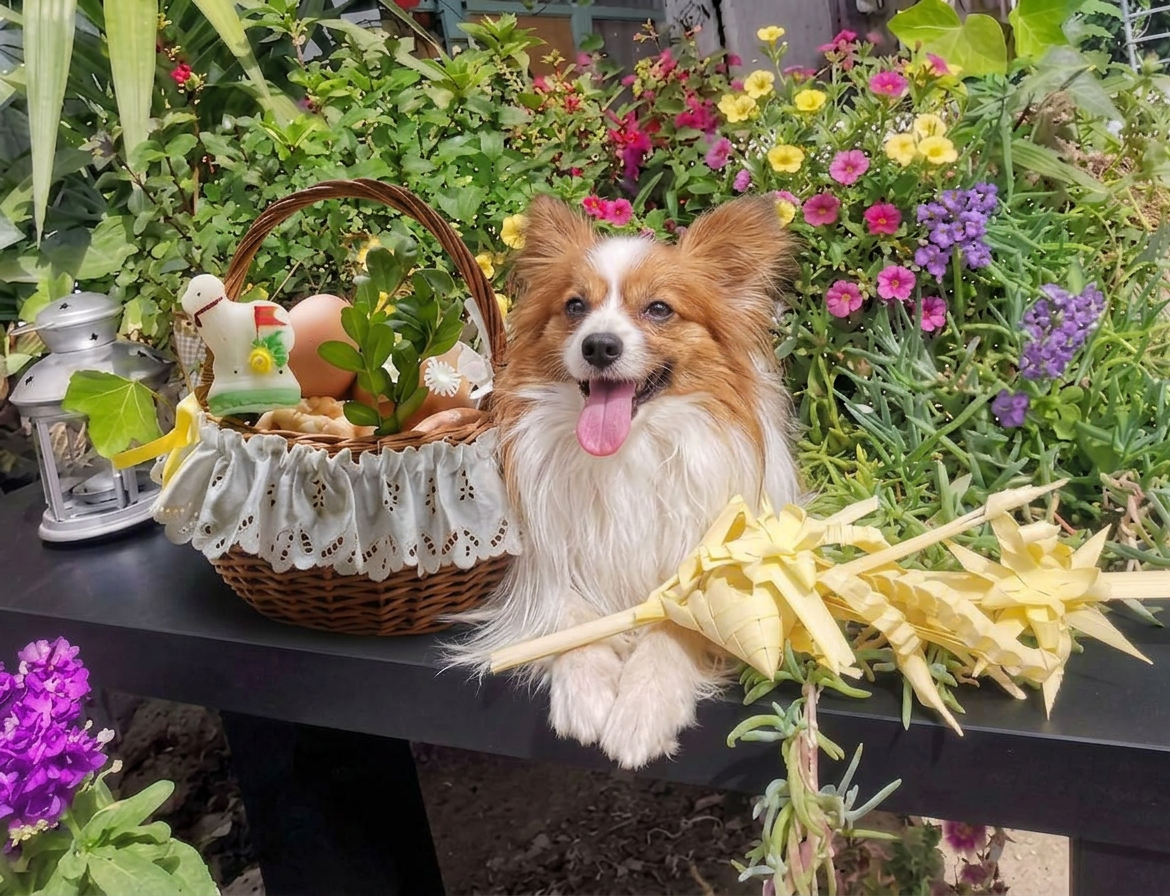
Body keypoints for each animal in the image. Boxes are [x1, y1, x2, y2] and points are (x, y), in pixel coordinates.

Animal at [447, 194, 802, 769]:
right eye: (574, 306)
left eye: (658, 309)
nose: (599, 346)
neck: (631, 450)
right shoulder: (543, 573)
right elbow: (570, 618)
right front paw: (588, 695)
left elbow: (674, 625)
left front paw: (642, 710)